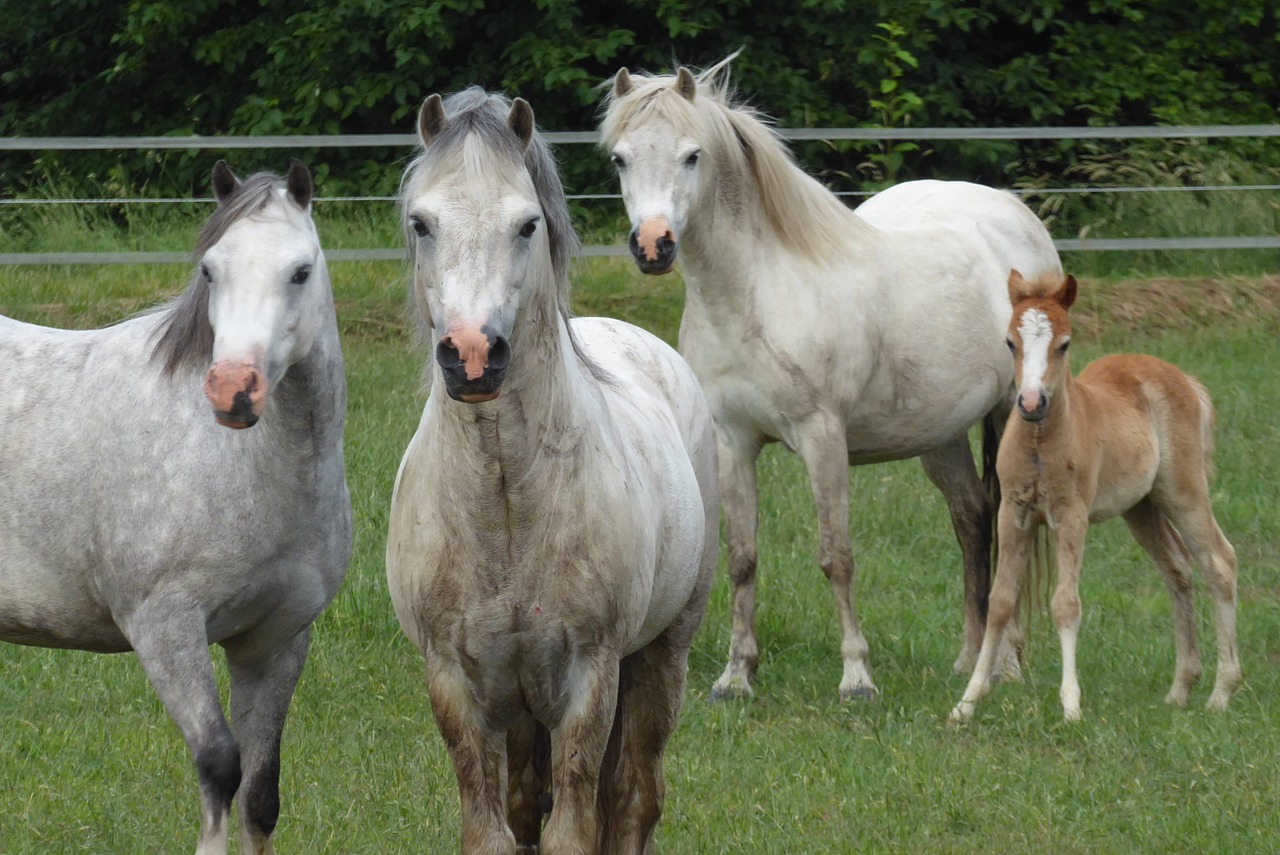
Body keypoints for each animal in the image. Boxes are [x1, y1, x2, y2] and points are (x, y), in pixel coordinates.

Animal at [0, 161, 350, 855]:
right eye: (210, 270)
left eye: (300, 271)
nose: (233, 389)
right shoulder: (164, 630)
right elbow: (219, 765)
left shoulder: (276, 640)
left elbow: (260, 792)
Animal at [384, 90, 721, 849]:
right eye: (421, 222)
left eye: (527, 223)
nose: (472, 355)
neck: (505, 503)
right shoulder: (456, 686)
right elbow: (494, 828)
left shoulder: (588, 680)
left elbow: (577, 824)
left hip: (661, 656)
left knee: (635, 797)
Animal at [604, 55, 1064, 701]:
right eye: (620, 158)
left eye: (692, 156)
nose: (653, 246)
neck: (757, 293)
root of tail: (1015, 214)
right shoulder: (732, 441)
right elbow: (742, 557)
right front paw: (736, 675)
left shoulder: (822, 437)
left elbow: (836, 555)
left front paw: (856, 676)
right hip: (942, 435)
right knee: (972, 520)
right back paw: (968, 657)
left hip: (1011, 413)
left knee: (1009, 525)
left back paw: (1008, 665)